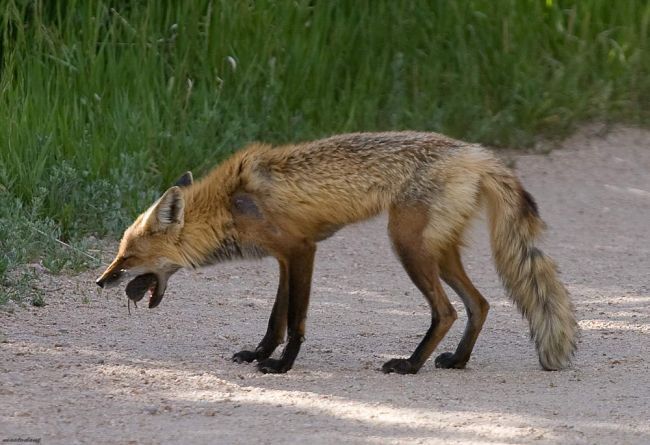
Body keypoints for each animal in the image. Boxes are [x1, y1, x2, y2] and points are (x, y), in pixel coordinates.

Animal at [93, 130, 576, 372]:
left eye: (127, 258)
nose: (100, 281)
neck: (228, 205)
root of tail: (475, 153)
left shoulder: (301, 250)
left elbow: (297, 321)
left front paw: (282, 367)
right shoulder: (283, 259)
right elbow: (275, 320)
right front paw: (260, 355)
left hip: (408, 246)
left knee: (447, 311)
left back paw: (410, 365)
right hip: (439, 252)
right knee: (480, 304)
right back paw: (457, 361)